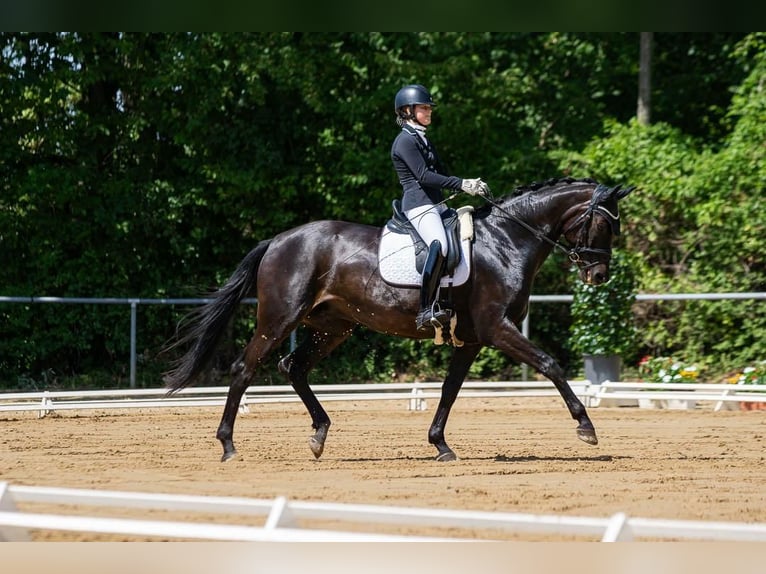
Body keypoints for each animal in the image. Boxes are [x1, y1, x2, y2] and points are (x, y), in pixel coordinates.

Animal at [166, 178, 636, 466]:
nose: (598, 276)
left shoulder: (471, 340)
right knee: (245, 368)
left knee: (292, 367)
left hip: (333, 326)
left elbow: (449, 390)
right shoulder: (497, 329)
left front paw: (440, 445)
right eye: (604, 225)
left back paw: (319, 434)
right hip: (280, 318)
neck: (506, 241)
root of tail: (279, 240)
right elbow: (550, 364)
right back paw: (228, 445)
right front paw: (587, 428)